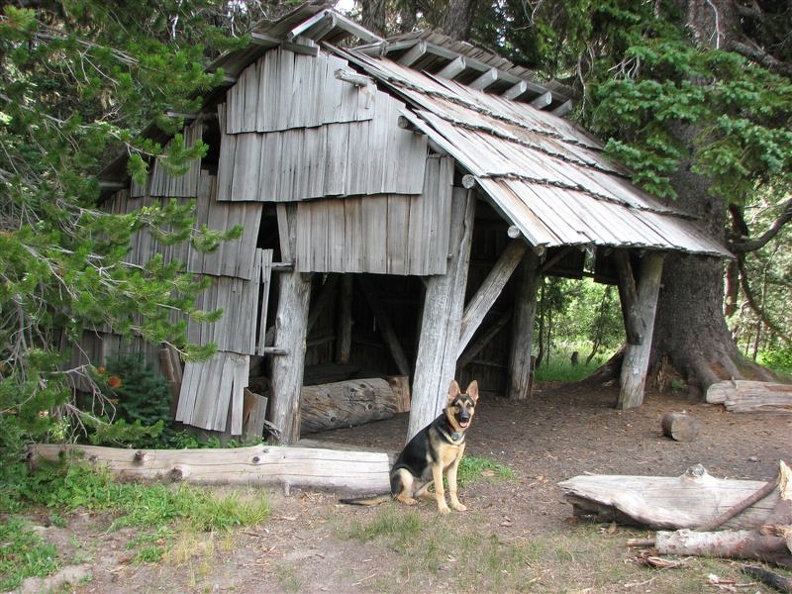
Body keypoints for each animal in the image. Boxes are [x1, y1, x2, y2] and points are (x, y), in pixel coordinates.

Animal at [338, 380, 480, 512]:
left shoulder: (452, 466)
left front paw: (456, 504)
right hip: (405, 473)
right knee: (398, 496)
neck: (452, 432)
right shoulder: (438, 464)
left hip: (432, 473)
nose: (465, 418)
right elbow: (441, 489)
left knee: (420, 493)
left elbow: (453, 488)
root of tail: (393, 491)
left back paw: (430, 496)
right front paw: (443, 508)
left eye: (469, 406)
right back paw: (409, 500)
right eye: (457, 405)